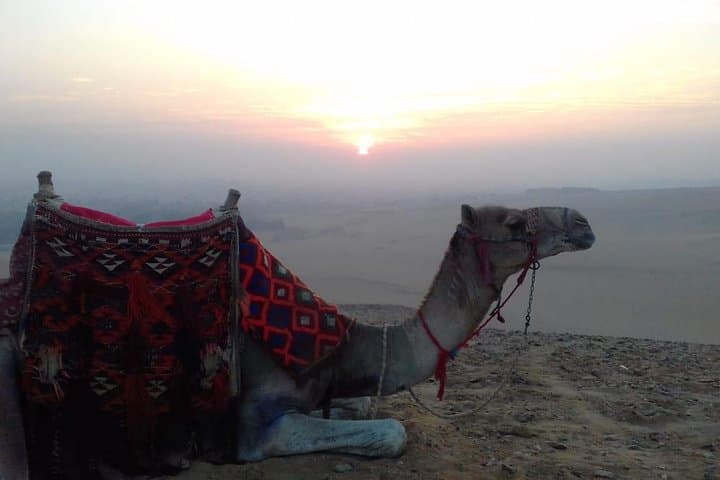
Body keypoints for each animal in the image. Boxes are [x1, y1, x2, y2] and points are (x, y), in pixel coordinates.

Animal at [0, 172, 595, 478]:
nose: (584, 223)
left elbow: (366, 405)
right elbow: (390, 431)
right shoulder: (257, 424)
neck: (345, 345)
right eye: (514, 223)